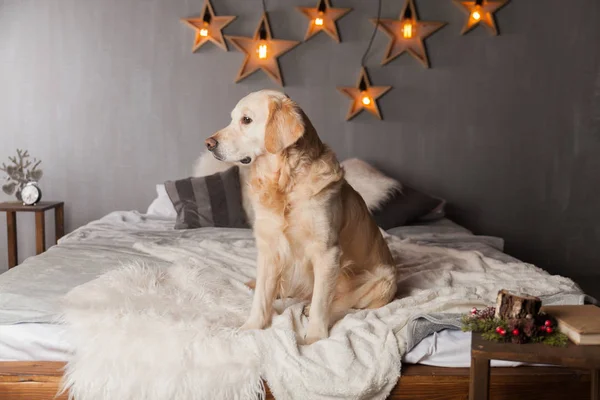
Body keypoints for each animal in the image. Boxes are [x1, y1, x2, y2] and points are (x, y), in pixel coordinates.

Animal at [204, 90, 396, 344]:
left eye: (246, 120)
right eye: (232, 118)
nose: (208, 144)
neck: (284, 183)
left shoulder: (327, 252)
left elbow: (321, 304)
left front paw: (314, 338)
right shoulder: (269, 247)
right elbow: (261, 297)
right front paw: (251, 327)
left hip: (383, 283)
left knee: (344, 302)